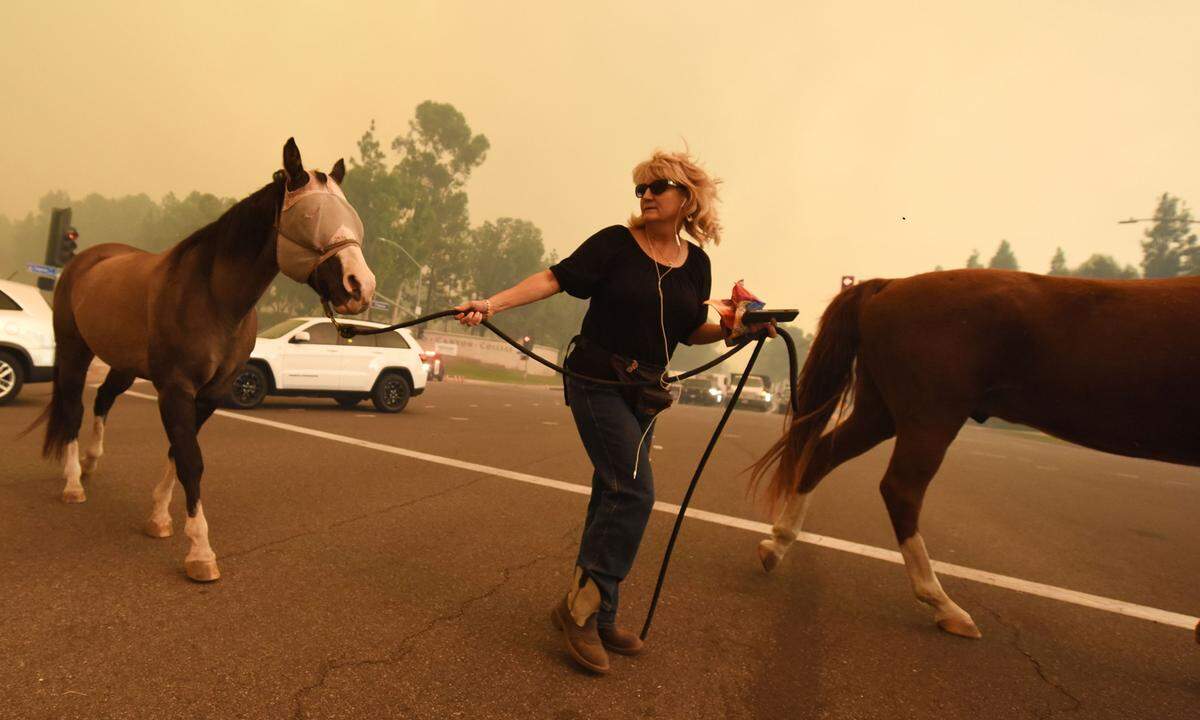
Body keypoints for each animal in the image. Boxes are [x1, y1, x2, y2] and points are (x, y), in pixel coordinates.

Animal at [28, 138, 374, 583]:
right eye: (311, 216)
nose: (360, 286)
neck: (212, 297)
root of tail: (88, 259)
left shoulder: (211, 394)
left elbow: (178, 451)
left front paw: (159, 518)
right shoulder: (176, 389)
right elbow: (190, 460)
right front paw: (199, 552)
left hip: (124, 365)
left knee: (103, 399)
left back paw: (90, 463)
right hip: (74, 350)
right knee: (73, 408)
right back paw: (74, 484)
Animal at [748, 271, 1200, 643]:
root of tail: (891, 283)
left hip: (881, 410)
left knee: (823, 455)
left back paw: (778, 544)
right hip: (931, 415)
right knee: (901, 489)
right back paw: (943, 603)